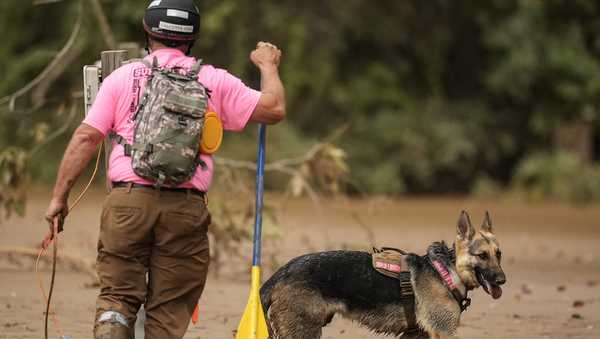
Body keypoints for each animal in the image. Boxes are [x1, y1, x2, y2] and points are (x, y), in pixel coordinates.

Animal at [260, 211, 504, 338]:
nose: (502, 280)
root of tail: (282, 272)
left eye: (499, 254)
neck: (447, 270)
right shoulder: (443, 331)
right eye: (482, 255)